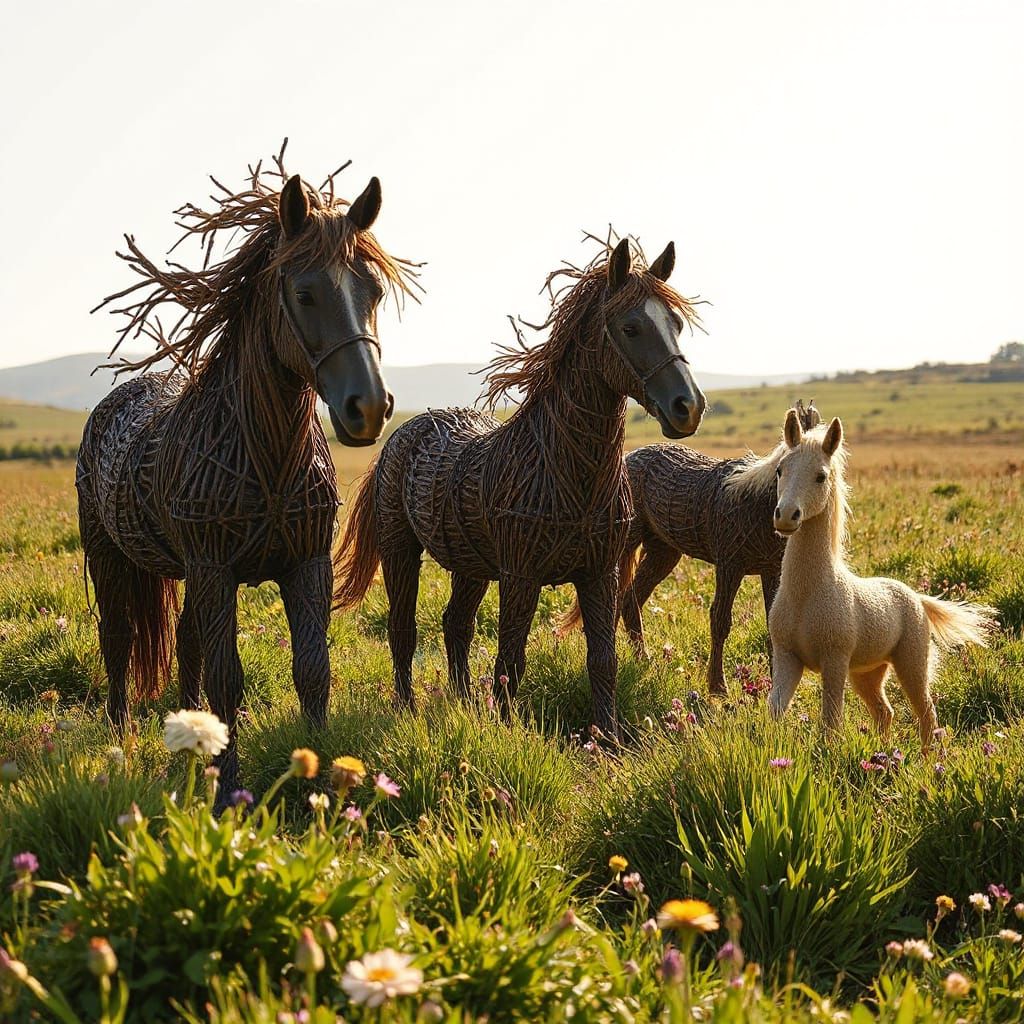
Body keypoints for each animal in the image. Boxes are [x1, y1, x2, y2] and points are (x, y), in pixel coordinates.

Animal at [76, 148, 418, 793]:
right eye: (305, 293)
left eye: (374, 290)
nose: (368, 407)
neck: (269, 462)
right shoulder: (216, 570)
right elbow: (227, 680)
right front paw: (226, 787)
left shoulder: (303, 567)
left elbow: (311, 670)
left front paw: (318, 778)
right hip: (110, 557)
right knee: (118, 641)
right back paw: (120, 740)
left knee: (185, 646)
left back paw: (183, 739)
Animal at [333, 235, 707, 739]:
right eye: (631, 327)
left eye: (677, 324)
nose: (688, 407)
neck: (570, 474)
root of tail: (403, 433)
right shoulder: (521, 576)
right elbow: (511, 663)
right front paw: (508, 732)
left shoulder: (599, 573)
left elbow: (602, 661)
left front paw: (607, 739)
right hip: (400, 549)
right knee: (403, 629)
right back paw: (407, 707)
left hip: (470, 566)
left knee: (456, 624)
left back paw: (464, 701)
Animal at [555, 401, 822, 693]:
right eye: (782, 468)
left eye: (823, 473)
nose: (788, 516)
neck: (753, 501)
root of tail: (628, 459)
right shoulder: (729, 566)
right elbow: (720, 620)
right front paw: (718, 686)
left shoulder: (770, 570)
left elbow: (772, 623)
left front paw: (776, 688)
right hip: (626, 547)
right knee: (616, 602)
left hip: (663, 553)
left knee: (630, 600)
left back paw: (643, 660)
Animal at [731, 408, 997, 747]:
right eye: (780, 470)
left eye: (821, 476)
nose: (786, 516)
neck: (807, 595)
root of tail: (917, 598)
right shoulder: (787, 657)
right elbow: (775, 709)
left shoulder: (834, 661)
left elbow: (830, 721)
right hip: (866, 673)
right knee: (885, 713)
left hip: (910, 665)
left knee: (926, 713)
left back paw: (928, 756)